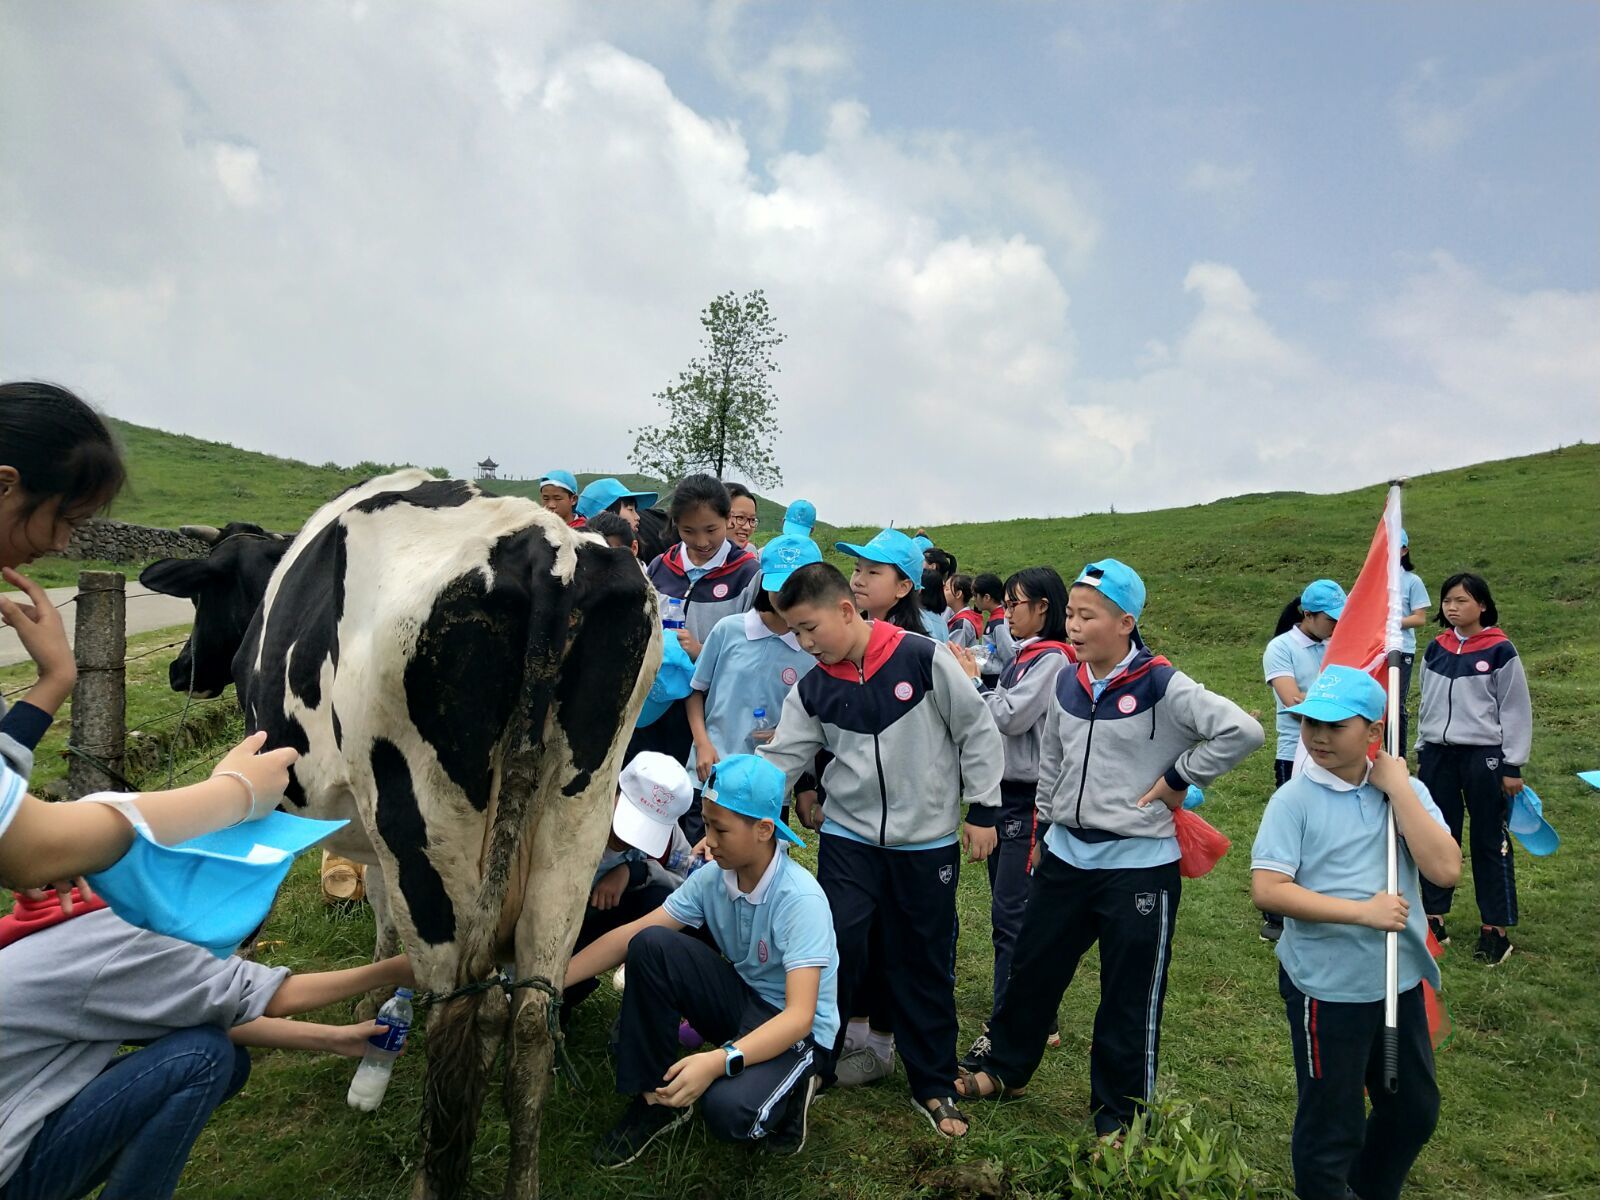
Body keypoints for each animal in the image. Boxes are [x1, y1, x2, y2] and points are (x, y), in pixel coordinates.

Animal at [140, 473, 659, 1200]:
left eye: (201, 595)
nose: (179, 668)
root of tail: (547, 549)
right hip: (577, 820)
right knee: (531, 1015)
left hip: (418, 820)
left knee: (455, 1011)